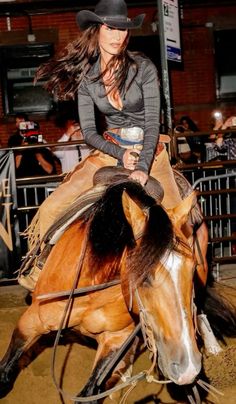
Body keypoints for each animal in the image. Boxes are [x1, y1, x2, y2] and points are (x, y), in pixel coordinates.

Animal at [0, 178, 235, 402]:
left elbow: (89, 394)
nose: (188, 368)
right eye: (143, 276)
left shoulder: (115, 339)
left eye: (192, 268)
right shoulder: (32, 320)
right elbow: (5, 373)